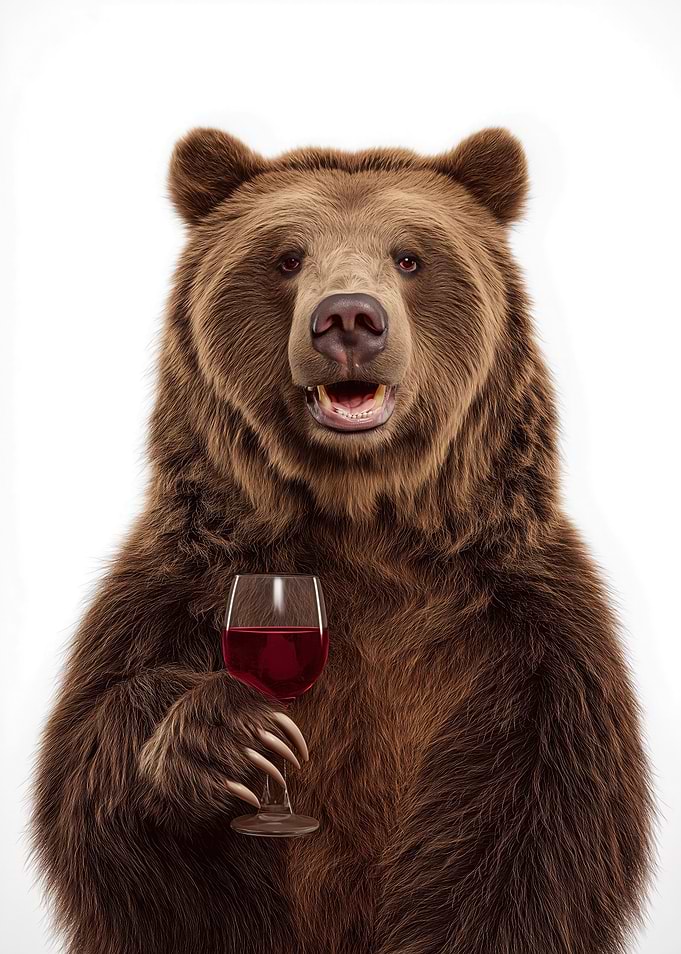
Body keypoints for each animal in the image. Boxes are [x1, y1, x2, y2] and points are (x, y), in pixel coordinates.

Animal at [30, 126, 654, 954]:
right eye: (287, 257)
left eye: (410, 257)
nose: (349, 320)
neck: (357, 521)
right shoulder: (176, 587)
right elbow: (93, 797)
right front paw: (222, 733)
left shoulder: (530, 645)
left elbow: (531, 847)